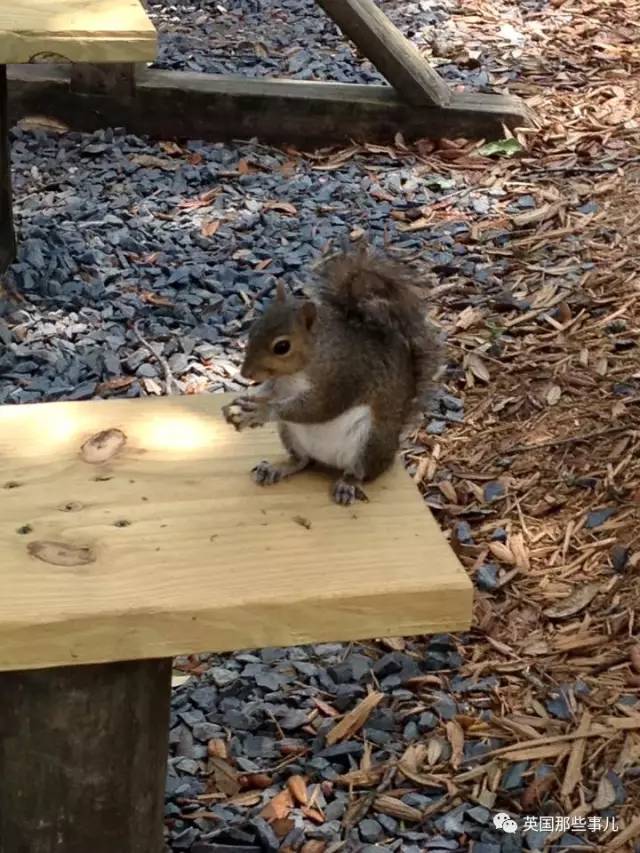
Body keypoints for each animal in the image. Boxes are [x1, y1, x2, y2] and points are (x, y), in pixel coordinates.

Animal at [222, 243, 442, 502]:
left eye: (282, 347)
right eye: (253, 329)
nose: (246, 374)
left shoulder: (343, 378)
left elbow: (318, 408)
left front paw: (262, 411)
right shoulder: (280, 383)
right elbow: (268, 391)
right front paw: (242, 401)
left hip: (371, 441)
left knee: (360, 472)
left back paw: (347, 484)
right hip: (290, 433)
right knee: (302, 461)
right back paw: (277, 468)